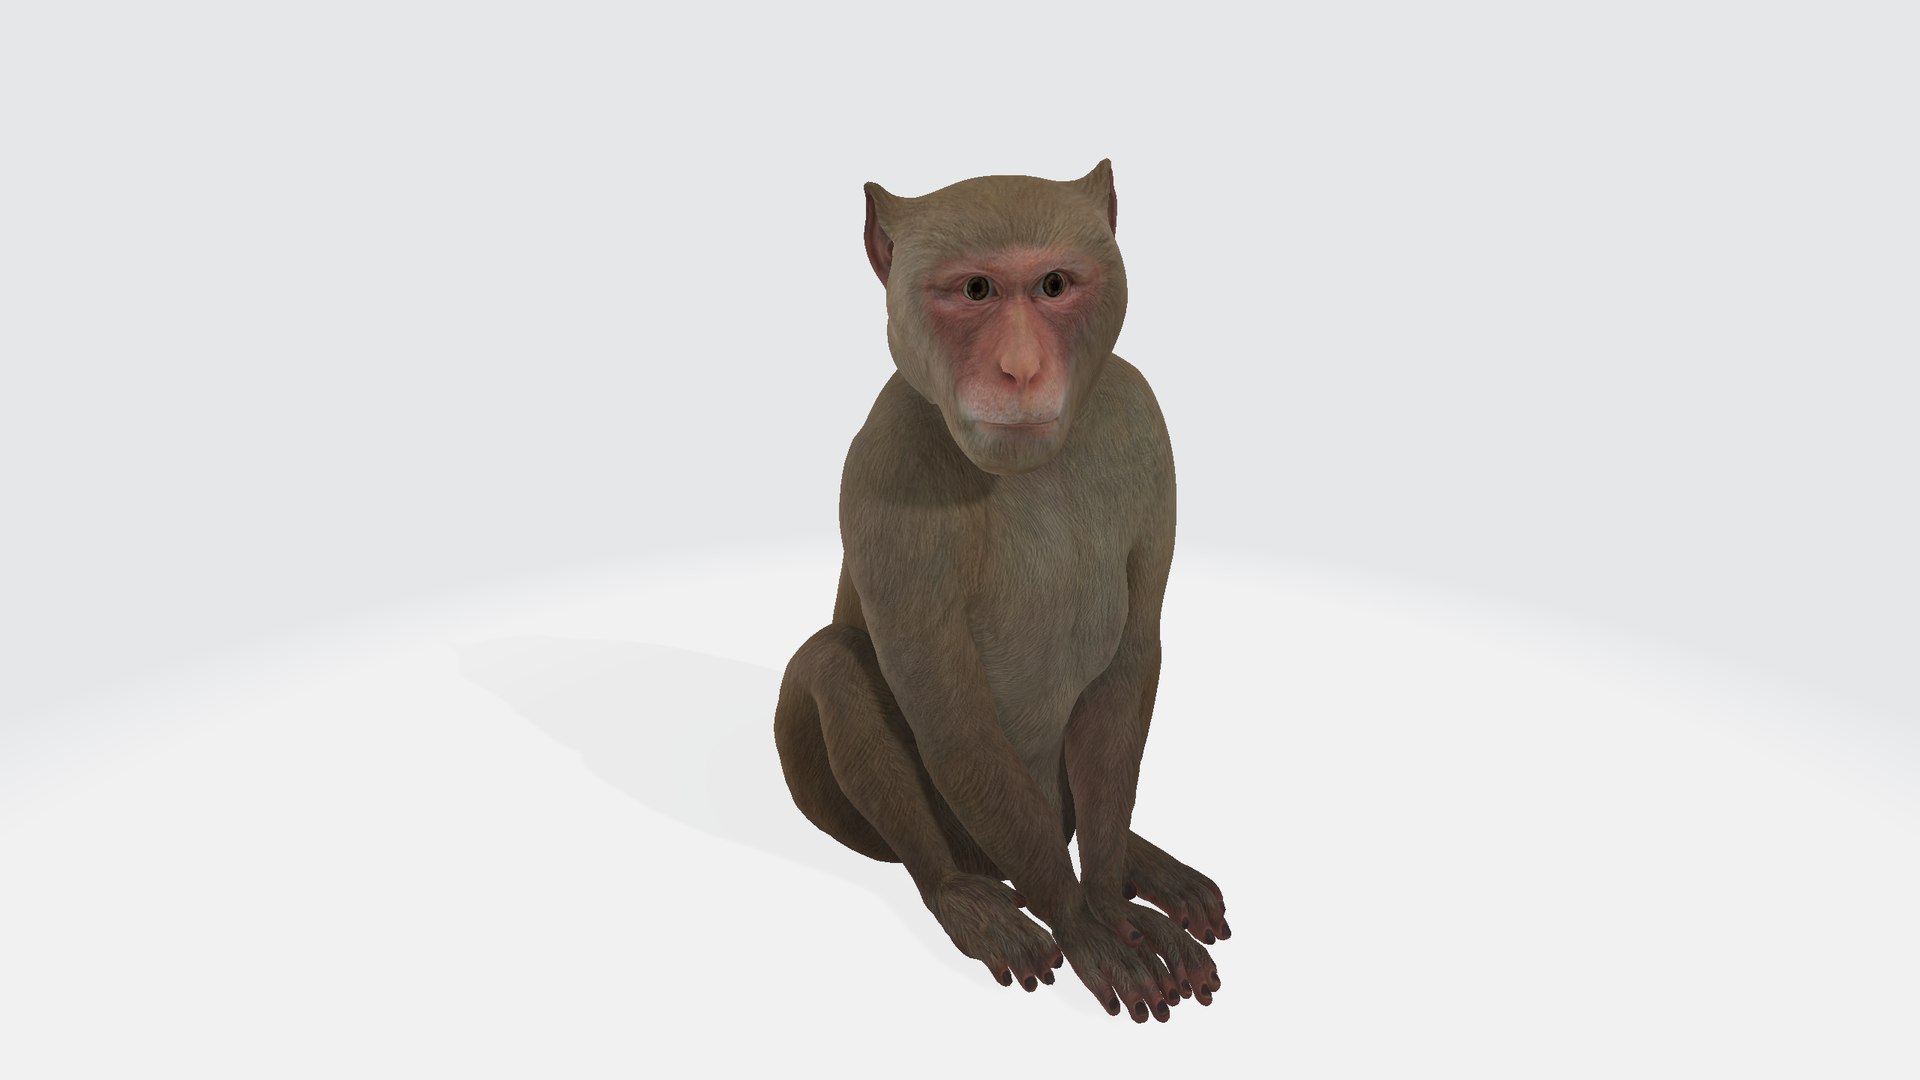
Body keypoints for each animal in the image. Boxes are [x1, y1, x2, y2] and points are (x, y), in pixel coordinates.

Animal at [773, 161, 1228, 1024]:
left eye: (1054, 285)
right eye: (976, 290)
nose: (1019, 369)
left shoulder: (1144, 425)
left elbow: (1129, 662)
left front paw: (1111, 899)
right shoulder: (884, 468)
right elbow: (950, 711)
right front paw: (1089, 925)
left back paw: (1133, 861)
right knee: (831, 665)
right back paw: (963, 893)